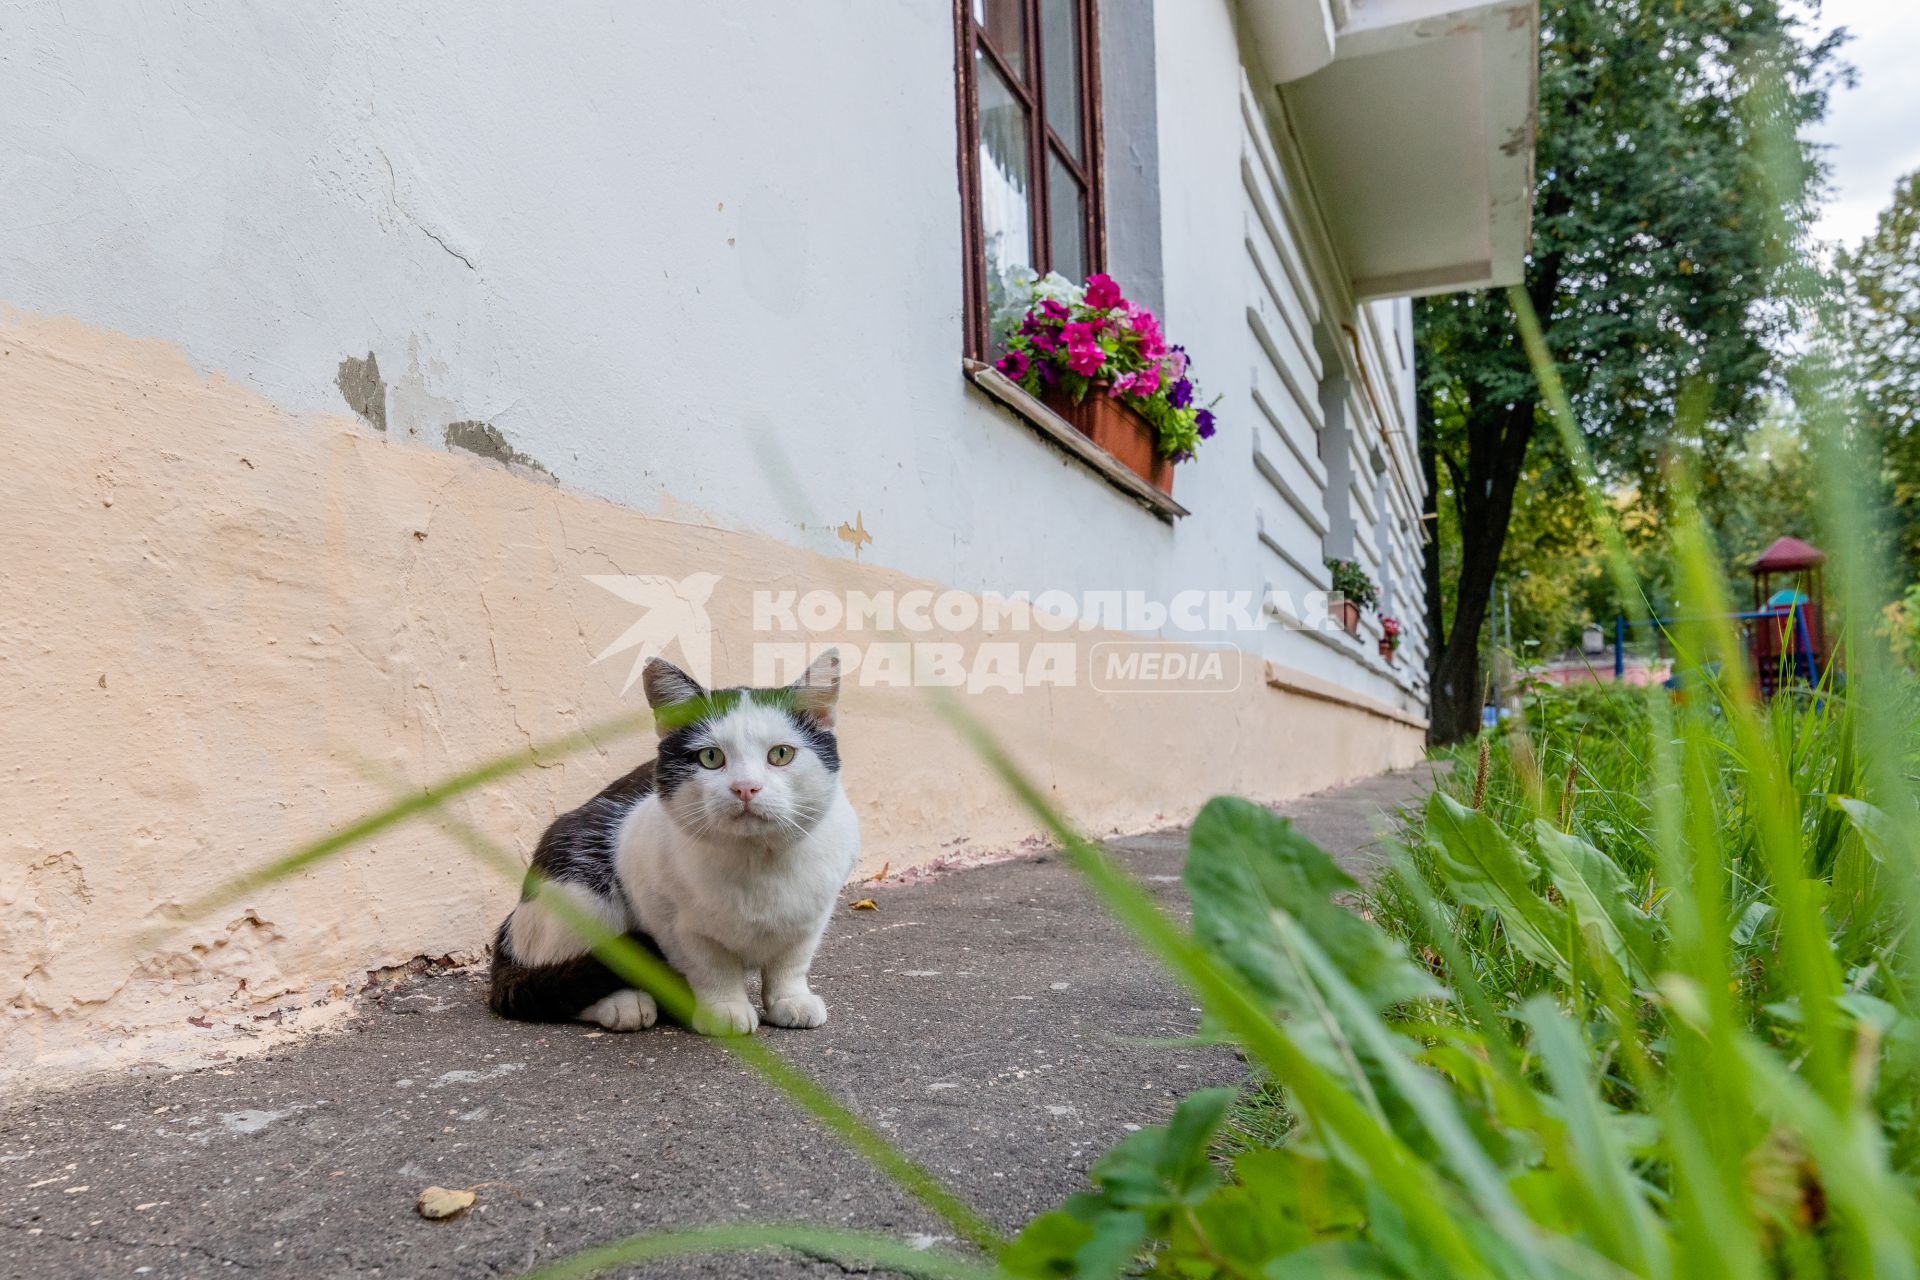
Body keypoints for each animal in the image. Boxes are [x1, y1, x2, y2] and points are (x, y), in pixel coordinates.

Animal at [491, 656, 860, 1036]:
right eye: (710, 757)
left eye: (781, 754)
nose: (745, 787)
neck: (757, 863)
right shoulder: (674, 919)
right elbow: (711, 966)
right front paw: (725, 1008)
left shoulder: (812, 918)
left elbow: (791, 962)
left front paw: (790, 999)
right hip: (582, 890)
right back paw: (625, 1004)